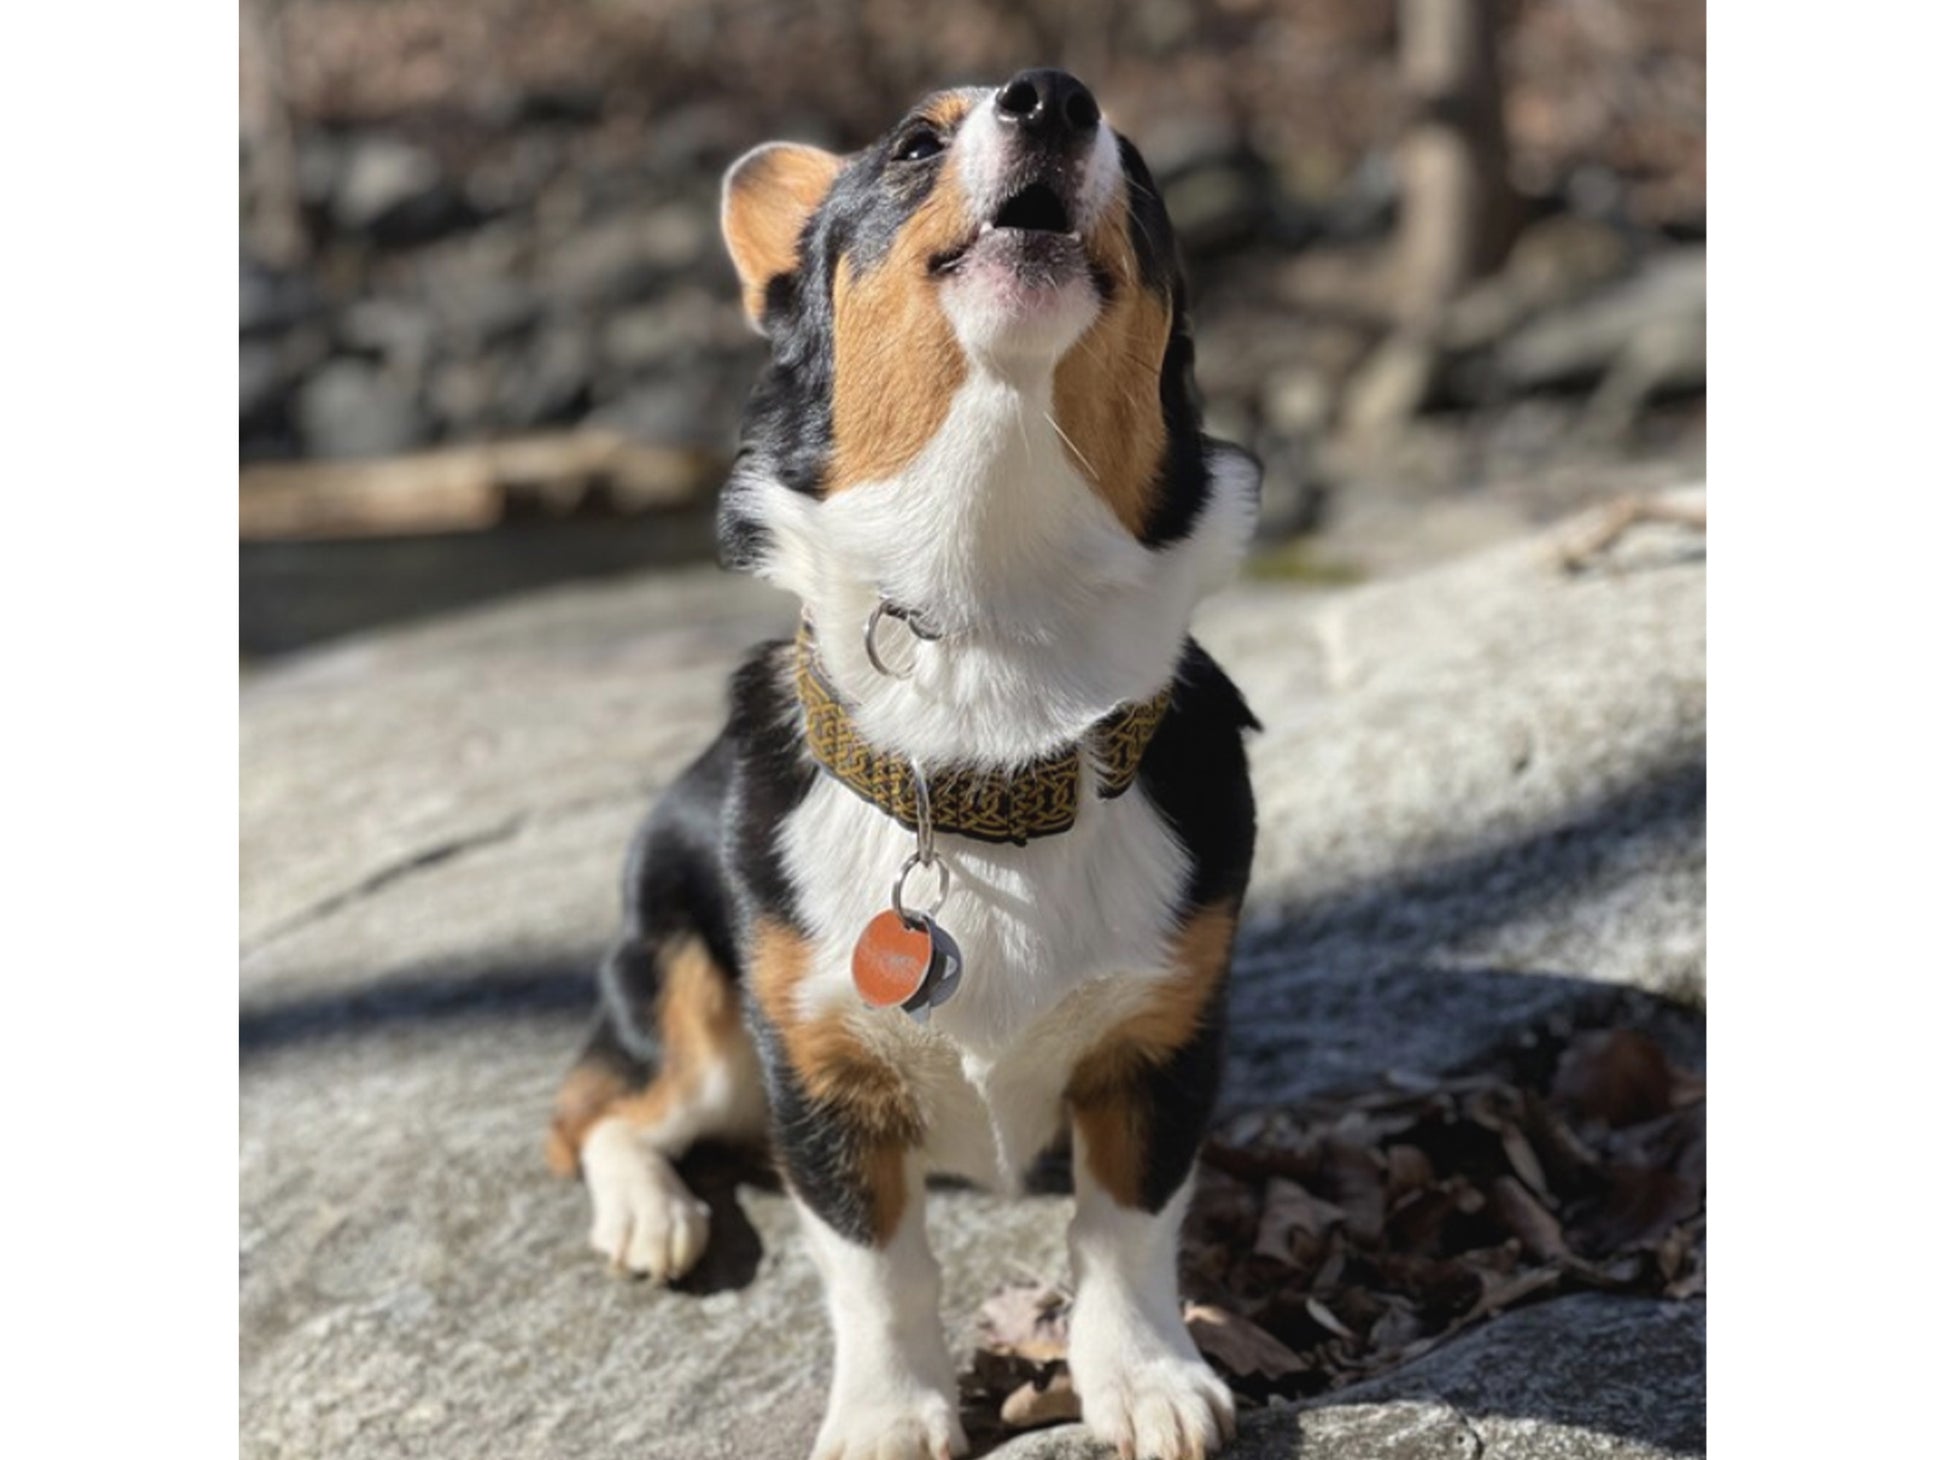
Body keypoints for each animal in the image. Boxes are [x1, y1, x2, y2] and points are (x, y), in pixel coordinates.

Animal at [548, 71, 1261, 1460]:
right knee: (598, 1109)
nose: (1054, 96)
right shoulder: (820, 1079)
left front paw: (1146, 1377)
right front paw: (889, 1413)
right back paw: (651, 1212)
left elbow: (1124, 1230)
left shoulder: (1162, 1044)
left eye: (1138, 169)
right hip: (694, 1020)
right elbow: (877, 1266)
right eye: (916, 143)